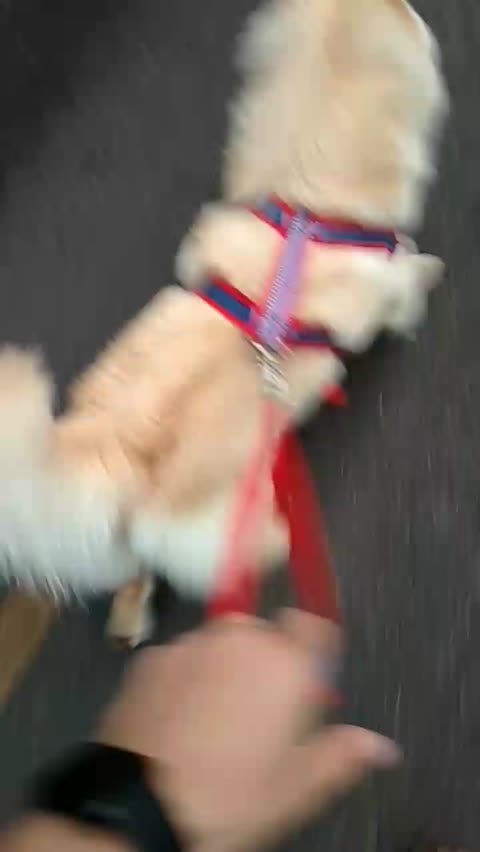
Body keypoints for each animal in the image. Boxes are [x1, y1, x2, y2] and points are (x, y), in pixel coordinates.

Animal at [0, 0, 448, 646]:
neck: (310, 200)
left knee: (133, 576)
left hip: (119, 536)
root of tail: (113, 456)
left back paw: (131, 622)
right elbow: (406, 279)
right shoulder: (380, 283)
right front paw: (428, 272)